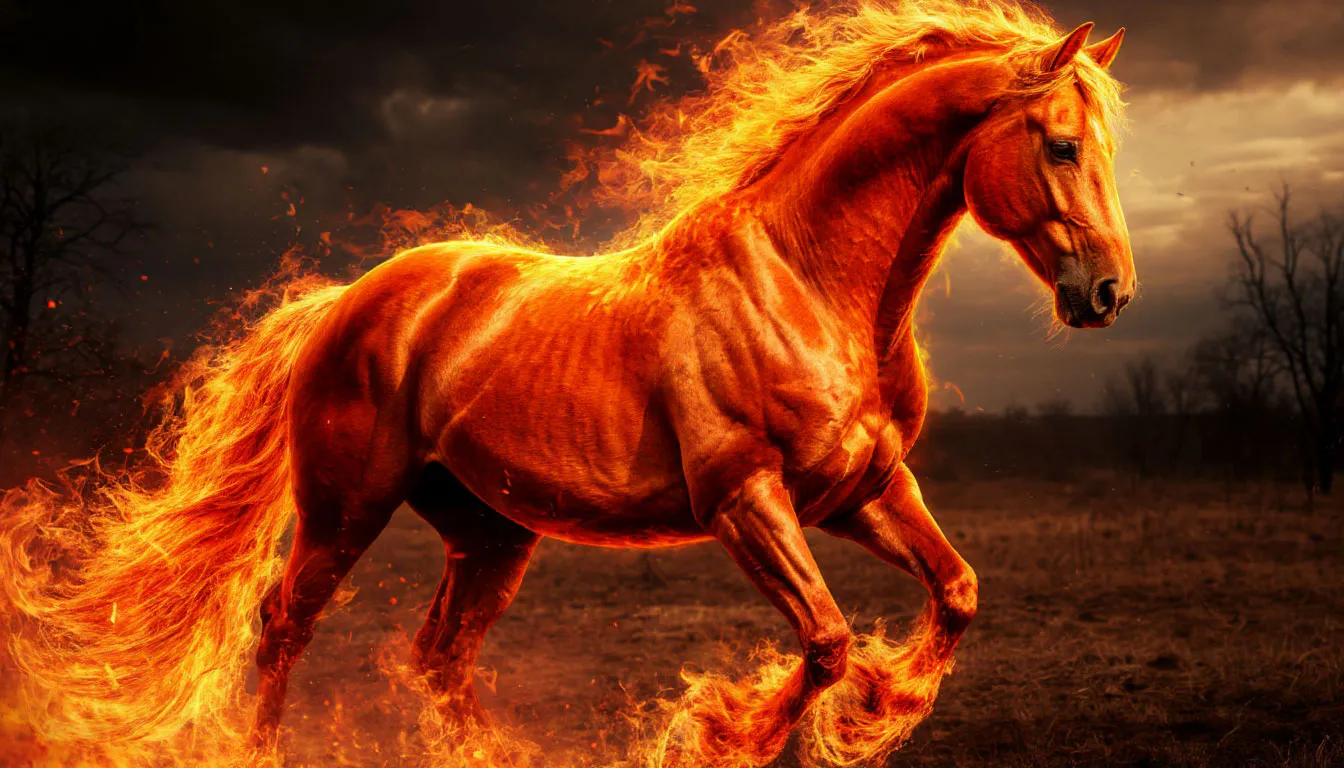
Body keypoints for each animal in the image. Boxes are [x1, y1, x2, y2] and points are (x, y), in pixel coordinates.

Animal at [0, 2, 1134, 765]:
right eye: (1060, 144)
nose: (1110, 291)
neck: (805, 281)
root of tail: (345, 300)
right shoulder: (745, 501)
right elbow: (823, 638)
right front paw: (728, 730)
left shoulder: (863, 489)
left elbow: (955, 594)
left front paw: (874, 711)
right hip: (344, 507)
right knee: (285, 625)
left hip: (490, 532)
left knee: (439, 657)